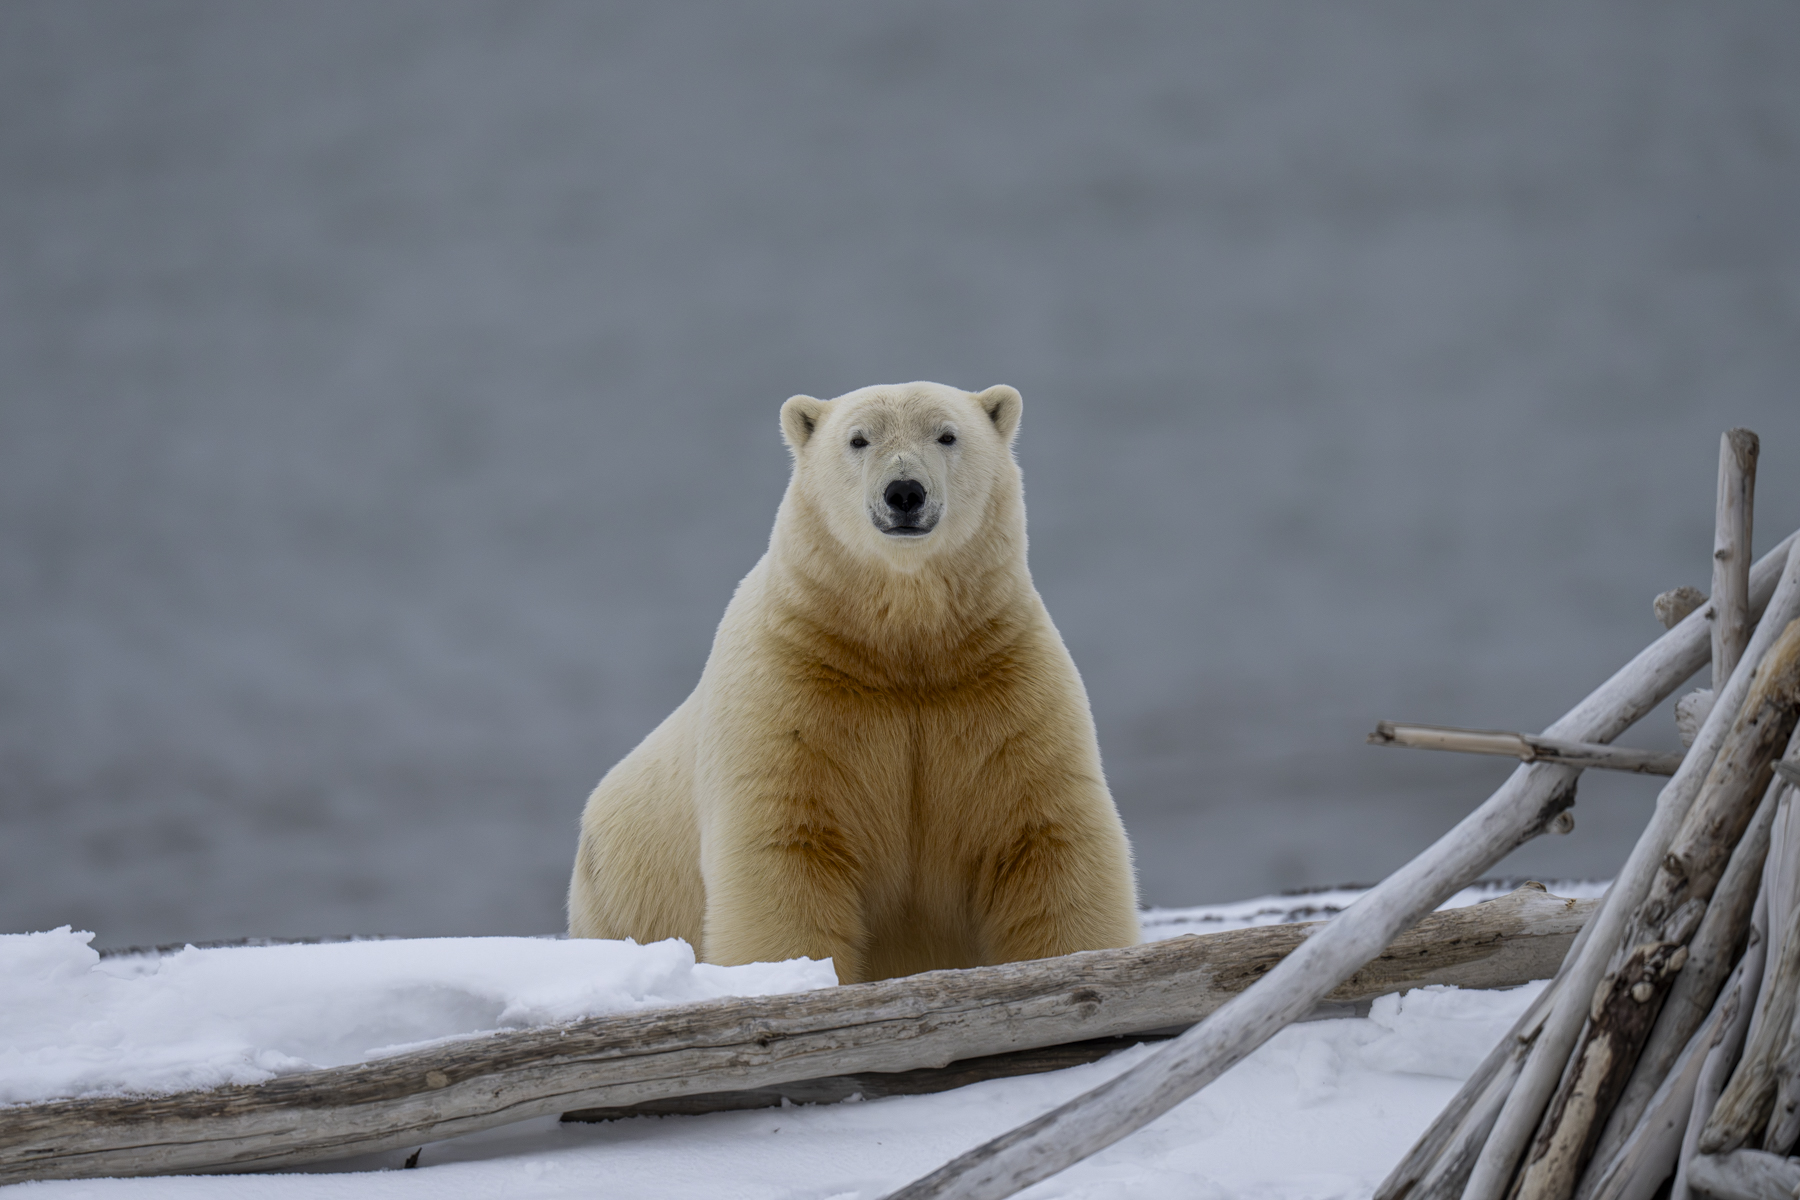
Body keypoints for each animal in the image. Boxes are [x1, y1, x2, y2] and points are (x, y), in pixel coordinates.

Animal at [567, 381, 1139, 983]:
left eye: (947, 434)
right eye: (858, 439)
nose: (905, 492)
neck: (901, 653)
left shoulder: (1002, 685)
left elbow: (1046, 835)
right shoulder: (792, 689)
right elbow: (788, 843)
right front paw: (793, 970)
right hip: (617, 894)